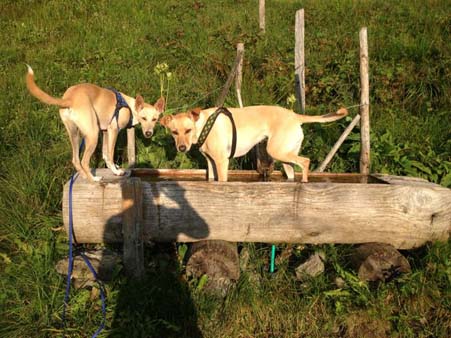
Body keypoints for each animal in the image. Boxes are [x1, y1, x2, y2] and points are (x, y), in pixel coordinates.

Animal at [26, 66, 164, 182]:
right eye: (143, 118)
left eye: (155, 119)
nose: (148, 133)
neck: (130, 107)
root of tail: (69, 99)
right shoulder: (113, 130)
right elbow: (110, 154)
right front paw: (116, 171)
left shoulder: (105, 131)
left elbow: (105, 154)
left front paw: (113, 168)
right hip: (93, 134)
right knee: (84, 161)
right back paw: (94, 179)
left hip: (75, 134)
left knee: (76, 160)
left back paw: (84, 176)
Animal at [161, 107, 348, 184]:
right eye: (174, 132)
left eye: (188, 130)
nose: (182, 148)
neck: (203, 125)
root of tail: (296, 116)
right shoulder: (211, 162)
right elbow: (212, 180)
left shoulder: (222, 162)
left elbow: (222, 181)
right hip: (285, 158)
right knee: (293, 171)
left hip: (276, 150)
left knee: (306, 161)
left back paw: (305, 182)